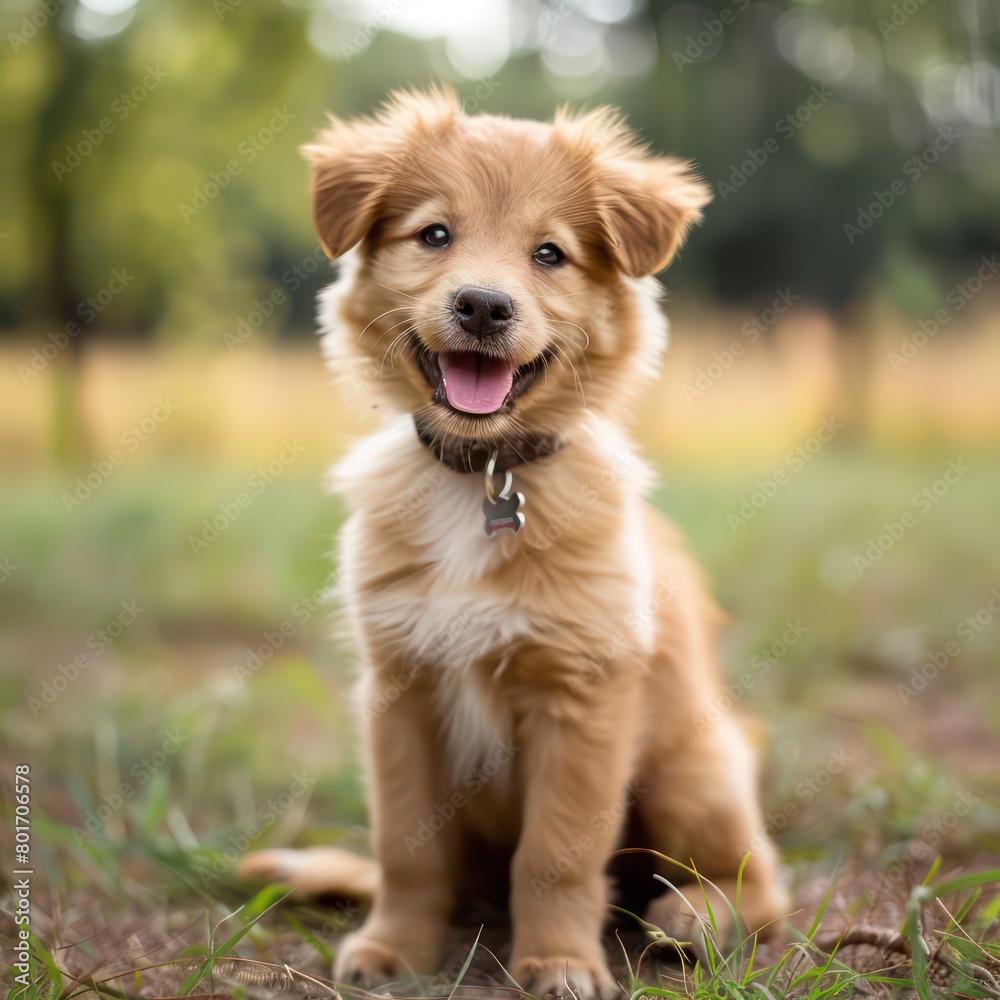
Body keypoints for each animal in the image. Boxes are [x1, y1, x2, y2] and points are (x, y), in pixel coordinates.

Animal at [242, 88, 788, 1000]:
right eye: (435, 235)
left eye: (550, 254)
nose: (484, 307)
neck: (485, 473)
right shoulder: (400, 691)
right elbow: (405, 846)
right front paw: (395, 946)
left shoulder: (583, 696)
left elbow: (557, 854)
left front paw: (559, 962)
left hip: (695, 769)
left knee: (762, 878)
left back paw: (697, 916)